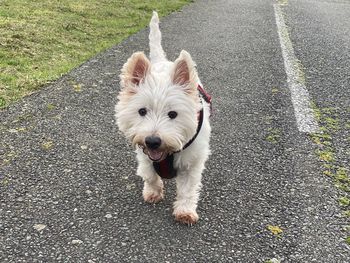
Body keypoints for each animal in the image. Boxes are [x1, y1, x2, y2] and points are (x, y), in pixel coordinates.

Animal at [116, 11, 212, 225]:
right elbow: (150, 175)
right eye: (142, 111)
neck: (166, 153)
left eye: (173, 114)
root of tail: (162, 61)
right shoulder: (143, 154)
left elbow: (187, 189)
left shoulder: (192, 162)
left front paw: (185, 211)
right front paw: (153, 192)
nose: (152, 141)